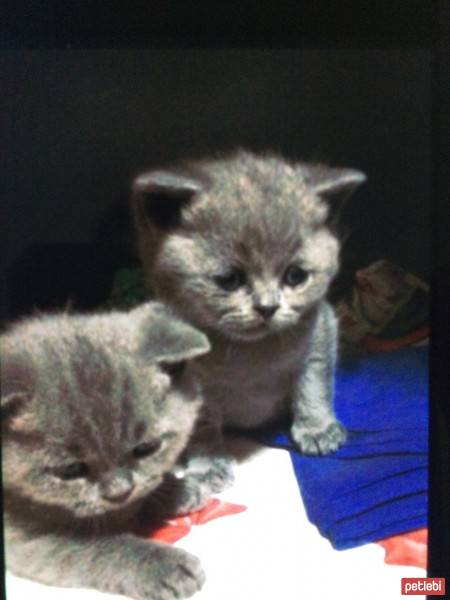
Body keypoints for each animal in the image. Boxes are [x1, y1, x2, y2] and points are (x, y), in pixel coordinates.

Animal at [0, 302, 211, 600]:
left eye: (146, 448)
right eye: (70, 469)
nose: (119, 492)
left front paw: (177, 490)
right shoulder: (21, 536)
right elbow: (93, 545)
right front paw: (163, 565)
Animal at [130, 149, 366, 506]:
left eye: (295, 276)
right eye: (229, 279)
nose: (267, 307)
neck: (249, 355)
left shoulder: (321, 331)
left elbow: (314, 384)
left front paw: (317, 428)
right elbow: (202, 424)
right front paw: (208, 464)